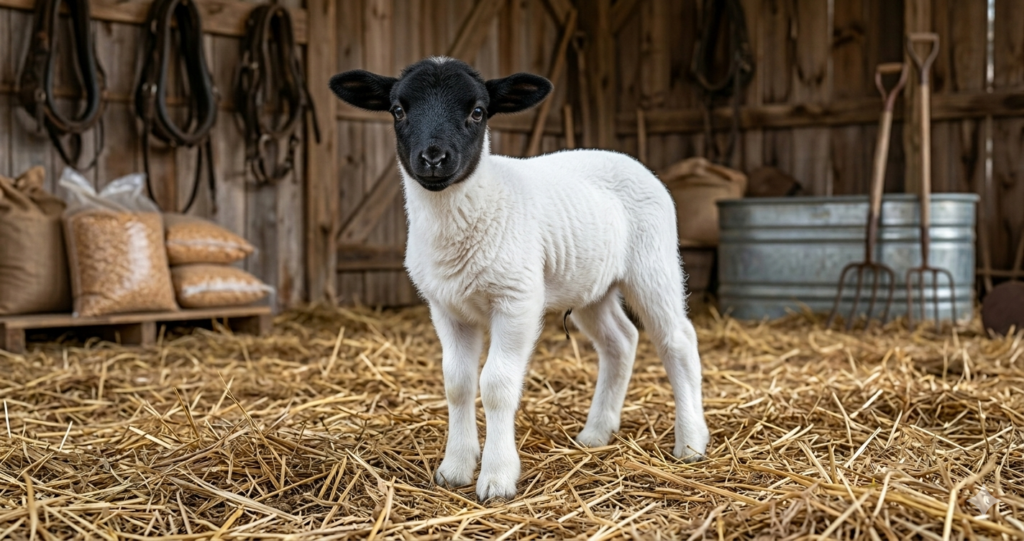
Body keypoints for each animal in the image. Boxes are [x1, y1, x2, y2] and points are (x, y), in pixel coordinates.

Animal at [329, 57, 709, 501]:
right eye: (398, 110)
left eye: (478, 112)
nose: (434, 158)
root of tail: (622, 157)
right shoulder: (446, 308)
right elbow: (457, 382)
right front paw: (455, 468)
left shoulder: (517, 301)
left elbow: (495, 384)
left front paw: (496, 478)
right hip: (590, 284)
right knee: (621, 340)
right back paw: (596, 433)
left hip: (653, 262)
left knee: (677, 340)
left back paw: (690, 442)